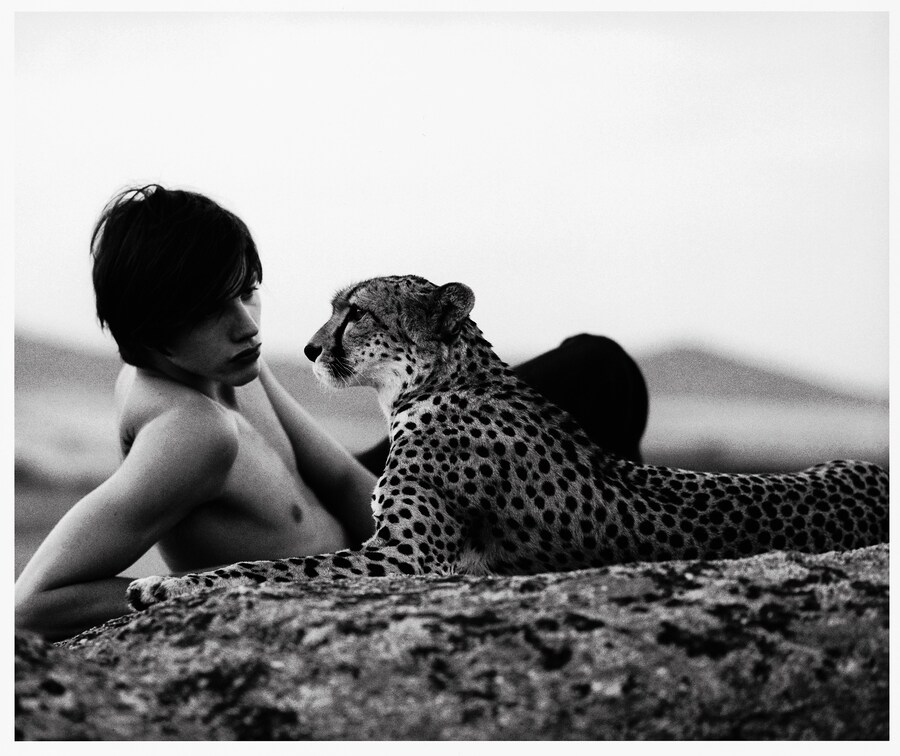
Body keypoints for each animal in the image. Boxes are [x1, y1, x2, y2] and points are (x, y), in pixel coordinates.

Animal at [127, 274, 889, 610]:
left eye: (357, 311)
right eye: (334, 306)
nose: (312, 348)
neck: (435, 383)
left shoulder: (403, 559)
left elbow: (277, 569)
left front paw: (168, 584)